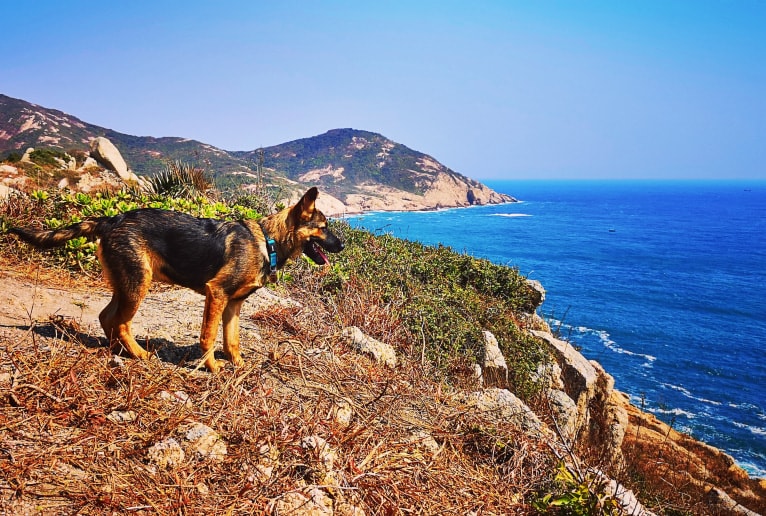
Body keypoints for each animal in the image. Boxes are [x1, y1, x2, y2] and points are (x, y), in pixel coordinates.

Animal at [8, 187, 344, 372]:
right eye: (324, 227)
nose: (342, 246)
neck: (267, 240)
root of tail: (112, 218)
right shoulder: (216, 293)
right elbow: (209, 337)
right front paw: (211, 368)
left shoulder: (233, 305)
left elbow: (232, 340)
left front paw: (239, 365)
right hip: (138, 285)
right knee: (120, 321)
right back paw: (140, 354)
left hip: (127, 282)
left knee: (107, 317)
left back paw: (119, 351)